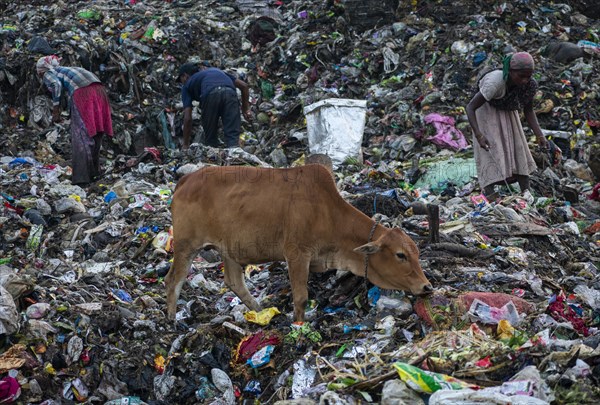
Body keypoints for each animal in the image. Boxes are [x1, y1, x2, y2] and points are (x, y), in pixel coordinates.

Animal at [166, 163, 434, 320]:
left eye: (416, 253)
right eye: (400, 255)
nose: (427, 287)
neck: (328, 213)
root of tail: (185, 180)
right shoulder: (296, 254)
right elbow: (301, 297)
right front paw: (299, 326)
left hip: (229, 251)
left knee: (234, 282)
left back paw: (262, 313)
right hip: (185, 245)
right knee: (173, 280)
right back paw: (171, 320)